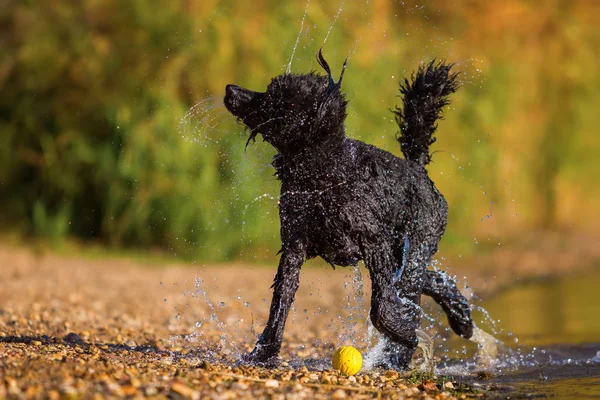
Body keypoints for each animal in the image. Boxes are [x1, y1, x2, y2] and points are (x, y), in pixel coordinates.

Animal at [224, 51, 474, 370]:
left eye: (275, 97)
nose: (230, 89)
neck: (324, 174)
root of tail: (416, 167)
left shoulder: (374, 242)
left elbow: (381, 309)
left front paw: (404, 335)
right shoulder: (294, 245)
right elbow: (279, 304)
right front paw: (263, 353)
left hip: (413, 249)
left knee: (411, 294)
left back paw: (400, 355)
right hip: (402, 259)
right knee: (430, 281)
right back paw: (461, 316)